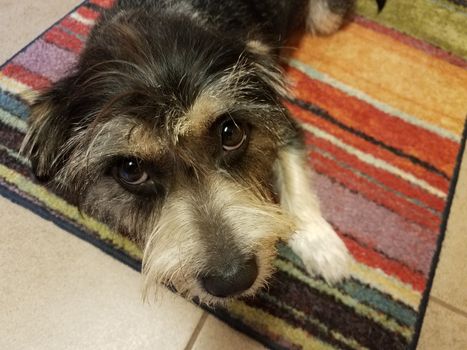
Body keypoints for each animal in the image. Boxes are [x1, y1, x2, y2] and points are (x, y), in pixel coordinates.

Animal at [20, 0, 386, 304]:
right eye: (130, 169)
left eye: (231, 133)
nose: (234, 280)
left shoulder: (280, 119)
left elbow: (297, 185)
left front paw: (321, 244)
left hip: (325, 18)